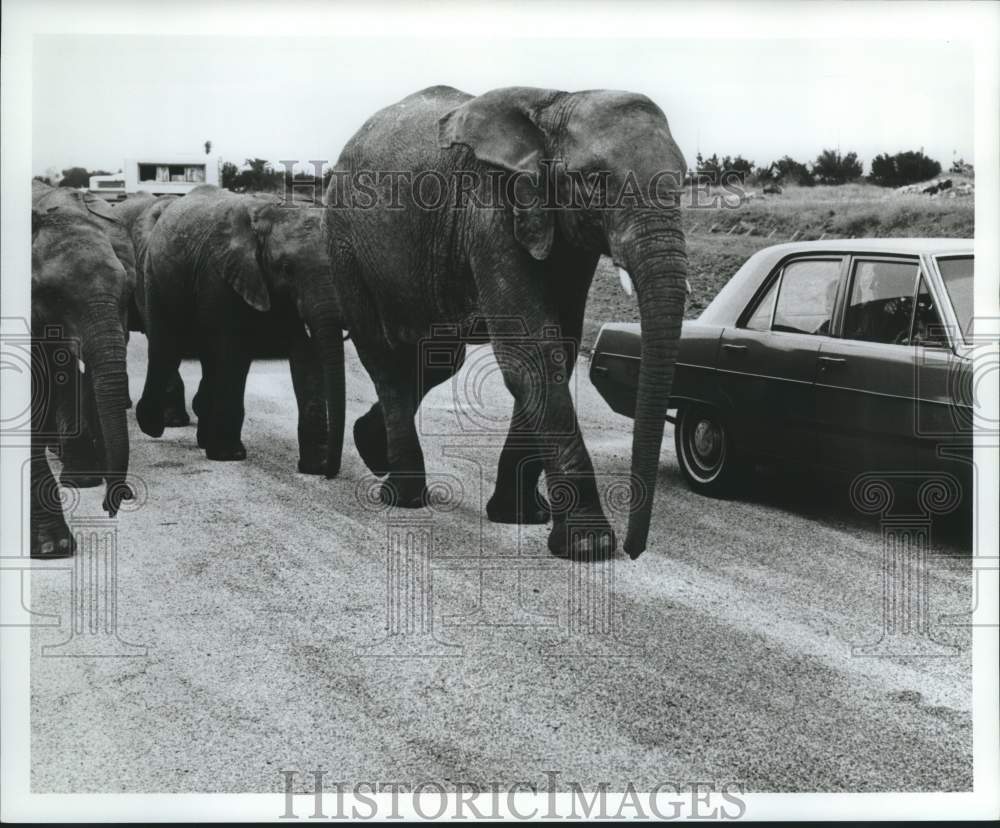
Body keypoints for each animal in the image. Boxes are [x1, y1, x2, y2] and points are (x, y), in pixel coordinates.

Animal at [136, 184, 348, 476]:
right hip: (155, 274)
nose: (330, 471)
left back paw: (202, 435)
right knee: (166, 345)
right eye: (286, 268)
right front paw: (229, 456)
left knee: (205, 357)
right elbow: (233, 352)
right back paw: (152, 425)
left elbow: (307, 358)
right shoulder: (220, 275)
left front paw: (314, 467)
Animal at [328, 85, 688, 564]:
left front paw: (521, 516)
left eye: (684, 181)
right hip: (345, 244)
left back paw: (372, 450)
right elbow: (532, 351)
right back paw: (403, 496)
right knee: (383, 355)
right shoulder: (490, 208)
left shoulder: (565, 234)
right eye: (594, 181)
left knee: (437, 361)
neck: (557, 104)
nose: (634, 551)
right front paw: (589, 545)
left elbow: (560, 346)